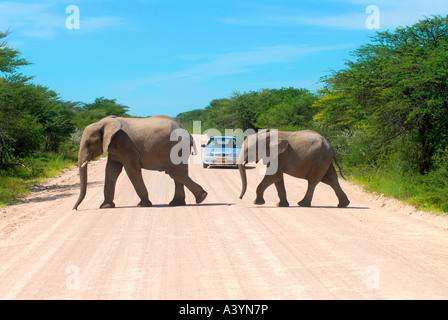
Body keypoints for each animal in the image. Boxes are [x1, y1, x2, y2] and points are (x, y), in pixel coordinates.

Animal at [72, 115, 207, 210]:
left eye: (89, 143)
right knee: (177, 174)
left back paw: (201, 198)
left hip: (177, 147)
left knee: (175, 173)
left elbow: (131, 169)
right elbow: (111, 170)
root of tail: (188, 132)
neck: (103, 123)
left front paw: (143, 205)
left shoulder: (126, 144)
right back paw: (177, 203)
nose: (75, 209)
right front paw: (105, 207)